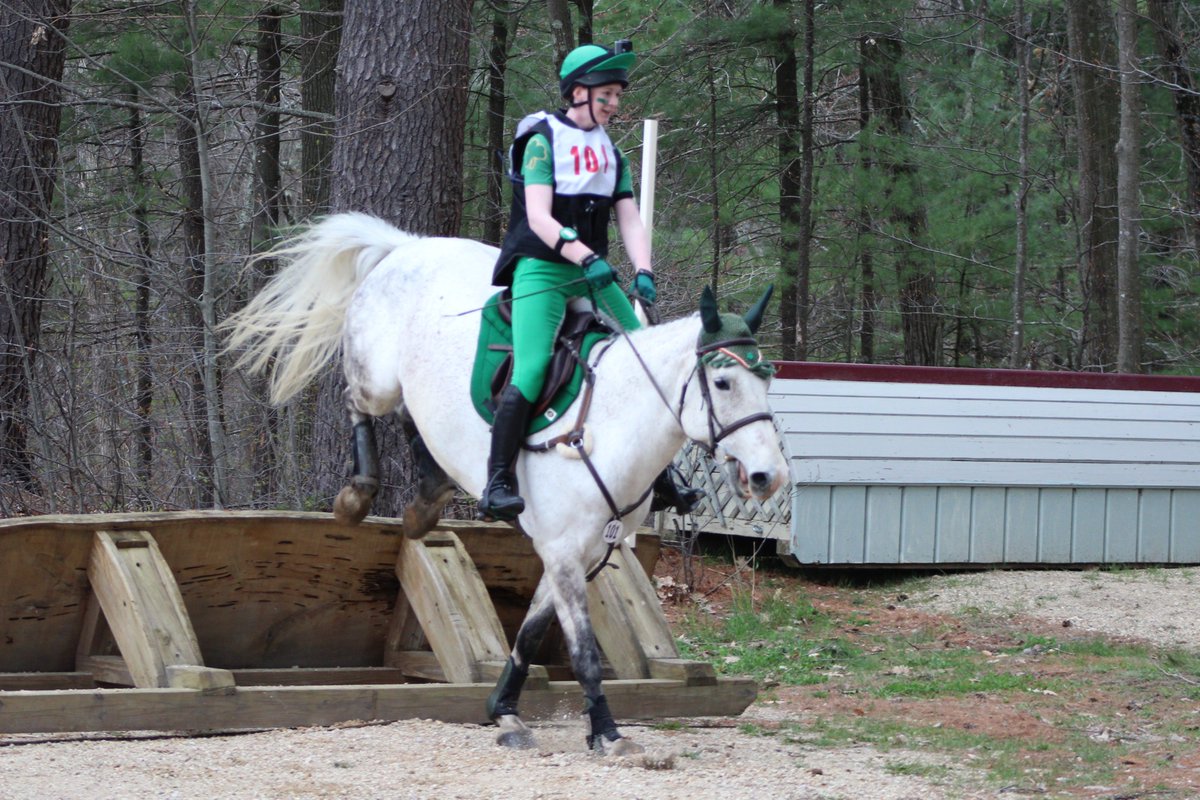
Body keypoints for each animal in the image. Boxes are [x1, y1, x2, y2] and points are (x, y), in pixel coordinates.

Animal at [222, 212, 789, 755]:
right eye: (723, 382)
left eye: (768, 379)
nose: (769, 476)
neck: (609, 424)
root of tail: (407, 246)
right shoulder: (562, 550)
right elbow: (582, 648)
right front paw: (607, 733)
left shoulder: (579, 552)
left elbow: (532, 632)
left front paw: (505, 710)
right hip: (376, 378)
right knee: (358, 402)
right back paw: (358, 494)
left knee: (410, 416)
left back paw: (428, 498)